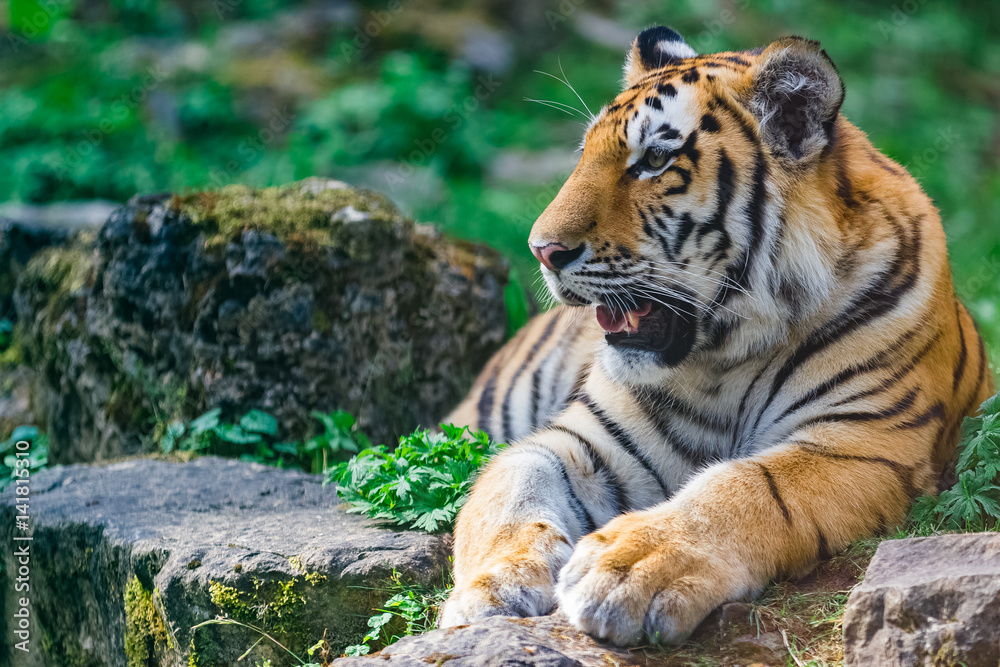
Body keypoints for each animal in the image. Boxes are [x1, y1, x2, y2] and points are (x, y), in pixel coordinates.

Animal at [437, 27, 994, 646]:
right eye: (583, 155)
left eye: (655, 159)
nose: (541, 250)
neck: (725, 358)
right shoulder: (579, 440)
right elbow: (509, 489)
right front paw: (490, 590)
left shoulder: (862, 442)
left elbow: (743, 488)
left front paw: (629, 567)